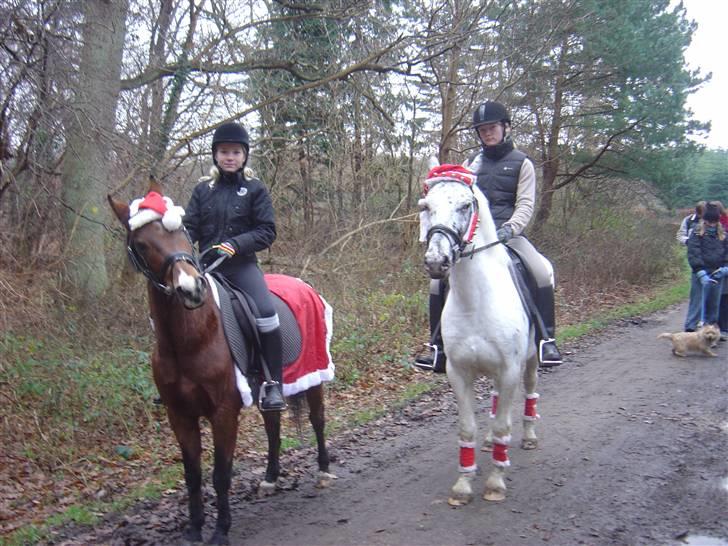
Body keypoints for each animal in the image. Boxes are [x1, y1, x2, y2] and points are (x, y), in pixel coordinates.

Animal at [418, 164, 544, 504]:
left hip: (529, 363)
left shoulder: (510, 369)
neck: (476, 301)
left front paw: (495, 483)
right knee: (496, 399)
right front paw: (463, 485)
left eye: (465, 205)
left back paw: (529, 436)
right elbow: (467, 428)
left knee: (529, 393)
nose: (437, 261)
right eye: (426, 206)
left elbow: (503, 426)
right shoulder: (459, 372)